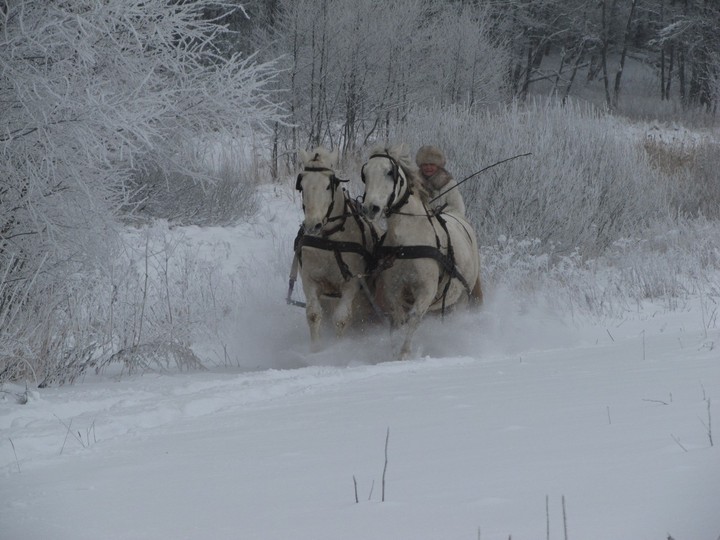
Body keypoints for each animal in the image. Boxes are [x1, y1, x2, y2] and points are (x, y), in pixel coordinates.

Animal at [292, 148, 382, 350]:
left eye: (328, 185)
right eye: (302, 185)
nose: (313, 225)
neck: (329, 241)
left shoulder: (351, 284)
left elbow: (341, 319)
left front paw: (337, 347)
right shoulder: (310, 280)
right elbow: (313, 314)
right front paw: (316, 349)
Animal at [360, 146, 484, 360]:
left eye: (390, 172)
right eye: (365, 174)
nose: (370, 208)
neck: (407, 242)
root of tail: (458, 215)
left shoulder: (426, 290)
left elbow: (413, 319)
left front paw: (404, 353)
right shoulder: (393, 289)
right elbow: (398, 319)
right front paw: (394, 351)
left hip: (460, 299)